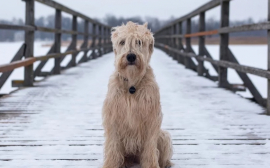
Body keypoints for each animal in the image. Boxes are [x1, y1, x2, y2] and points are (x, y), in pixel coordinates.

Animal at [101, 21, 173, 167]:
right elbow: (113, 147)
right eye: (122, 42)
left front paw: (152, 165)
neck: (132, 84)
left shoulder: (151, 118)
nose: (131, 56)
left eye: (139, 42)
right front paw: (111, 164)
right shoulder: (113, 117)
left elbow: (150, 149)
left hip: (163, 136)